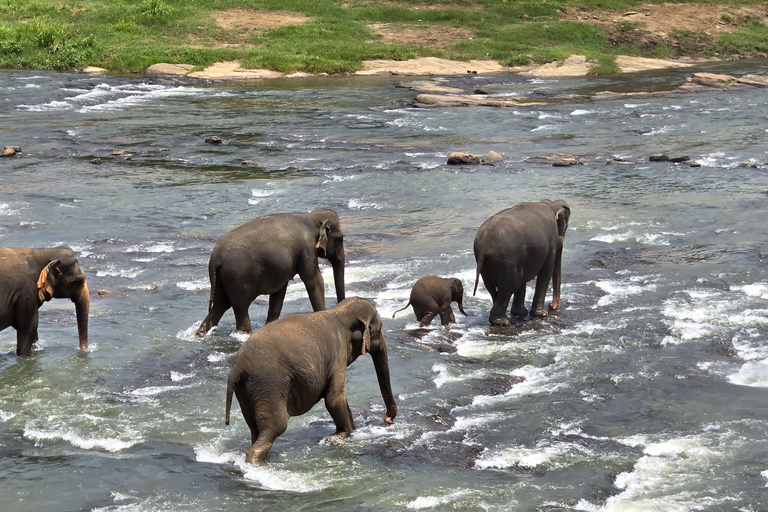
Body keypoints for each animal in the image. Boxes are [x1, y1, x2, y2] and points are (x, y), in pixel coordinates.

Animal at [196, 208, 346, 336]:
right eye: (341, 238)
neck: (311, 217)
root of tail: (216, 257)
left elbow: (279, 292)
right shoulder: (307, 249)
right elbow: (314, 280)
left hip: (221, 279)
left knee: (219, 307)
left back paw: (200, 334)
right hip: (238, 277)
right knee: (240, 308)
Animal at [225, 296, 396, 464]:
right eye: (379, 329)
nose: (387, 420)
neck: (339, 310)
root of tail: (237, 366)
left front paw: (353, 431)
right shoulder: (337, 355)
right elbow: (334, 398)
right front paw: (341, 435)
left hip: (245, 390)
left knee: (255, 428)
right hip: (269, 385)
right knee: (274, 428)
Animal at [472, 198, 572, 326]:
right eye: (565, 227)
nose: (551, 306)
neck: (550, 204)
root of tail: (485, 242)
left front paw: (520, 313)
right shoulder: (551, 244)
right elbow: (546, 272)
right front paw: (542, 314)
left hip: (486, 262)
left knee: (492, 286)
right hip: (507, 259)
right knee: (509, 286)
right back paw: (502, 322)